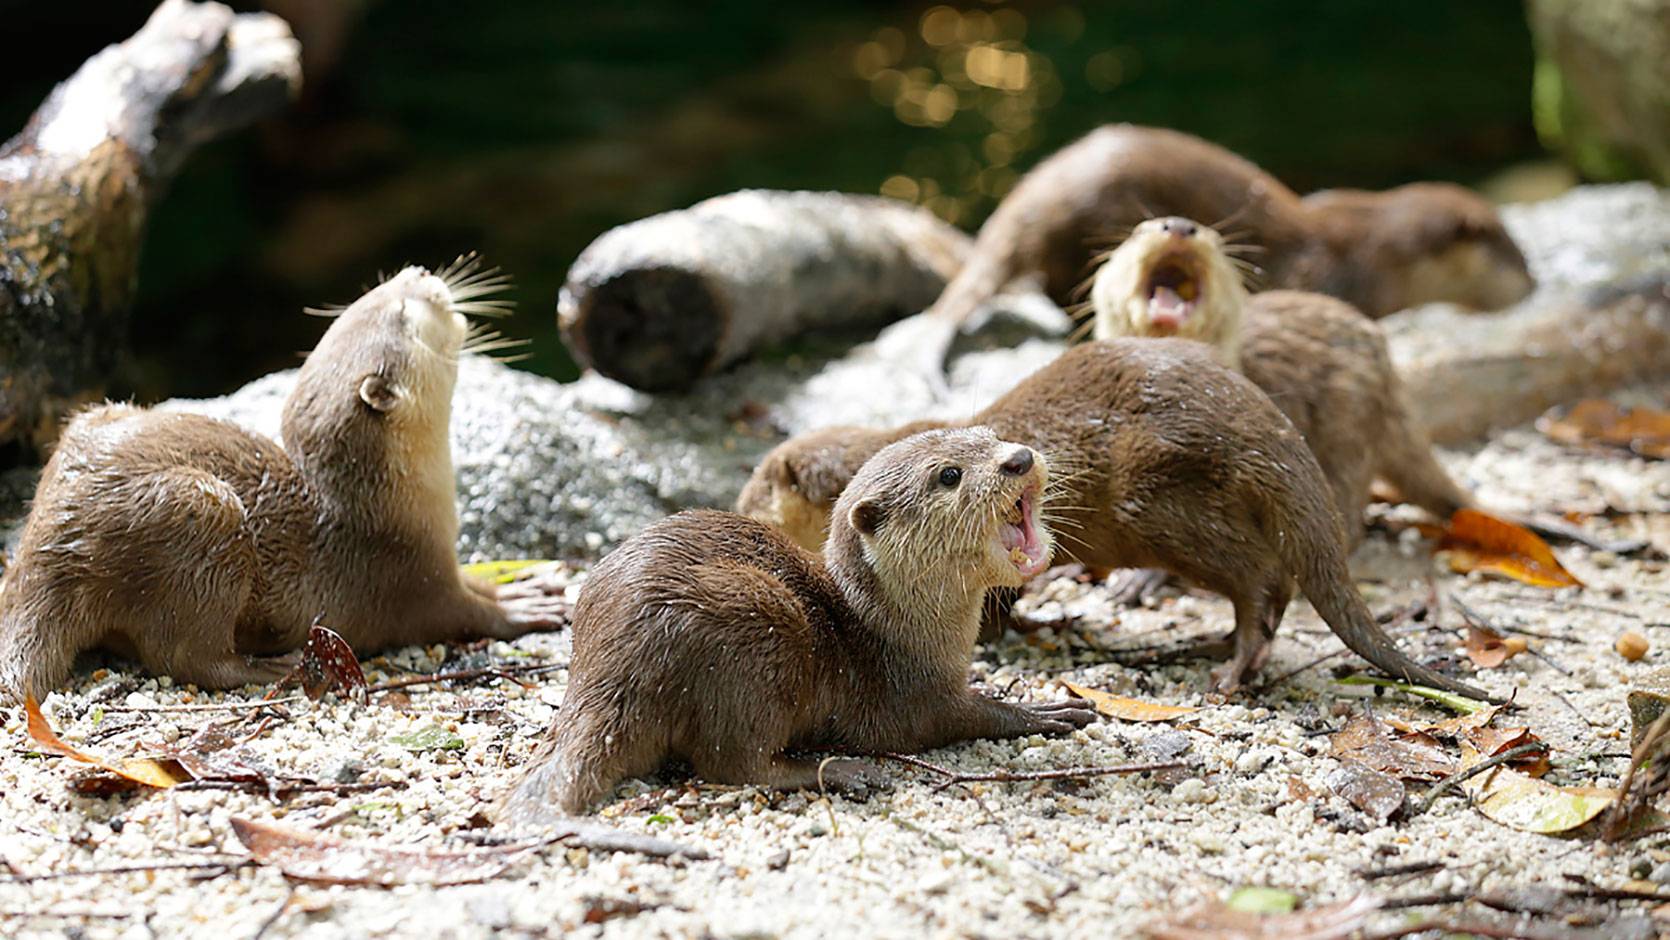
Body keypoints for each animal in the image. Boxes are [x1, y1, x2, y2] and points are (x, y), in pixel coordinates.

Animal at [0, 258, 563, 702]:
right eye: (402, 314)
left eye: (376, 292)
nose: (419, 271)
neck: (393, 505)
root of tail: (50, 550)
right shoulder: (412, 577)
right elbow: (462, 610)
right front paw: (521, 607)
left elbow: (475, 582)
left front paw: (520, 580)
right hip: (199, 511)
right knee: (183, 656)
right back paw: (275, 666)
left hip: (99, 418)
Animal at [501, 428, 1096, 818]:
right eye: (950, 475)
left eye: (991, 437)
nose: (1019, 458)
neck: (893, 626)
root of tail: (608, 672)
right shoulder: (913, 694)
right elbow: (962, 716)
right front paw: (1045, 710)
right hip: (759, 625)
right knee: (733, 762)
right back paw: (842, 771)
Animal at [737, 341, 1491, 700]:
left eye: (749, 496)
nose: (1019, 457)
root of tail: (1262, 425)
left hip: (1159, 501)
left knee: (1262, 580)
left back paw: (1232, 664)